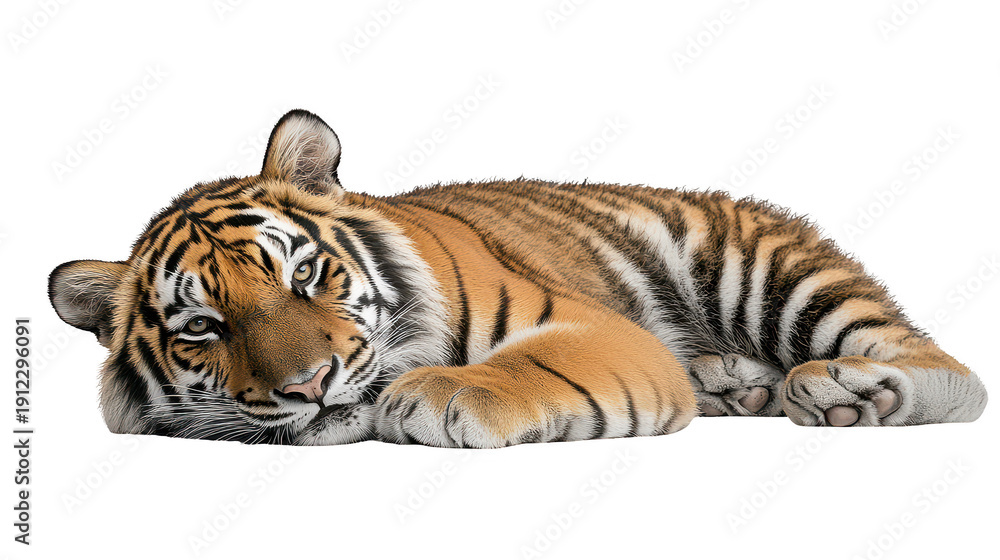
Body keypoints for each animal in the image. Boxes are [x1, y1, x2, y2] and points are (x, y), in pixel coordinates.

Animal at [48, 109, 988, 447]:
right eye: (202, 329)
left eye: (305, 275)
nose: (311, 385)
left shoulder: (592, 328)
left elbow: (525, 365)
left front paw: (442, 395)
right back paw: (734, 383)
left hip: (766, 271)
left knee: (952, 369)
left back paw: (846, 393)